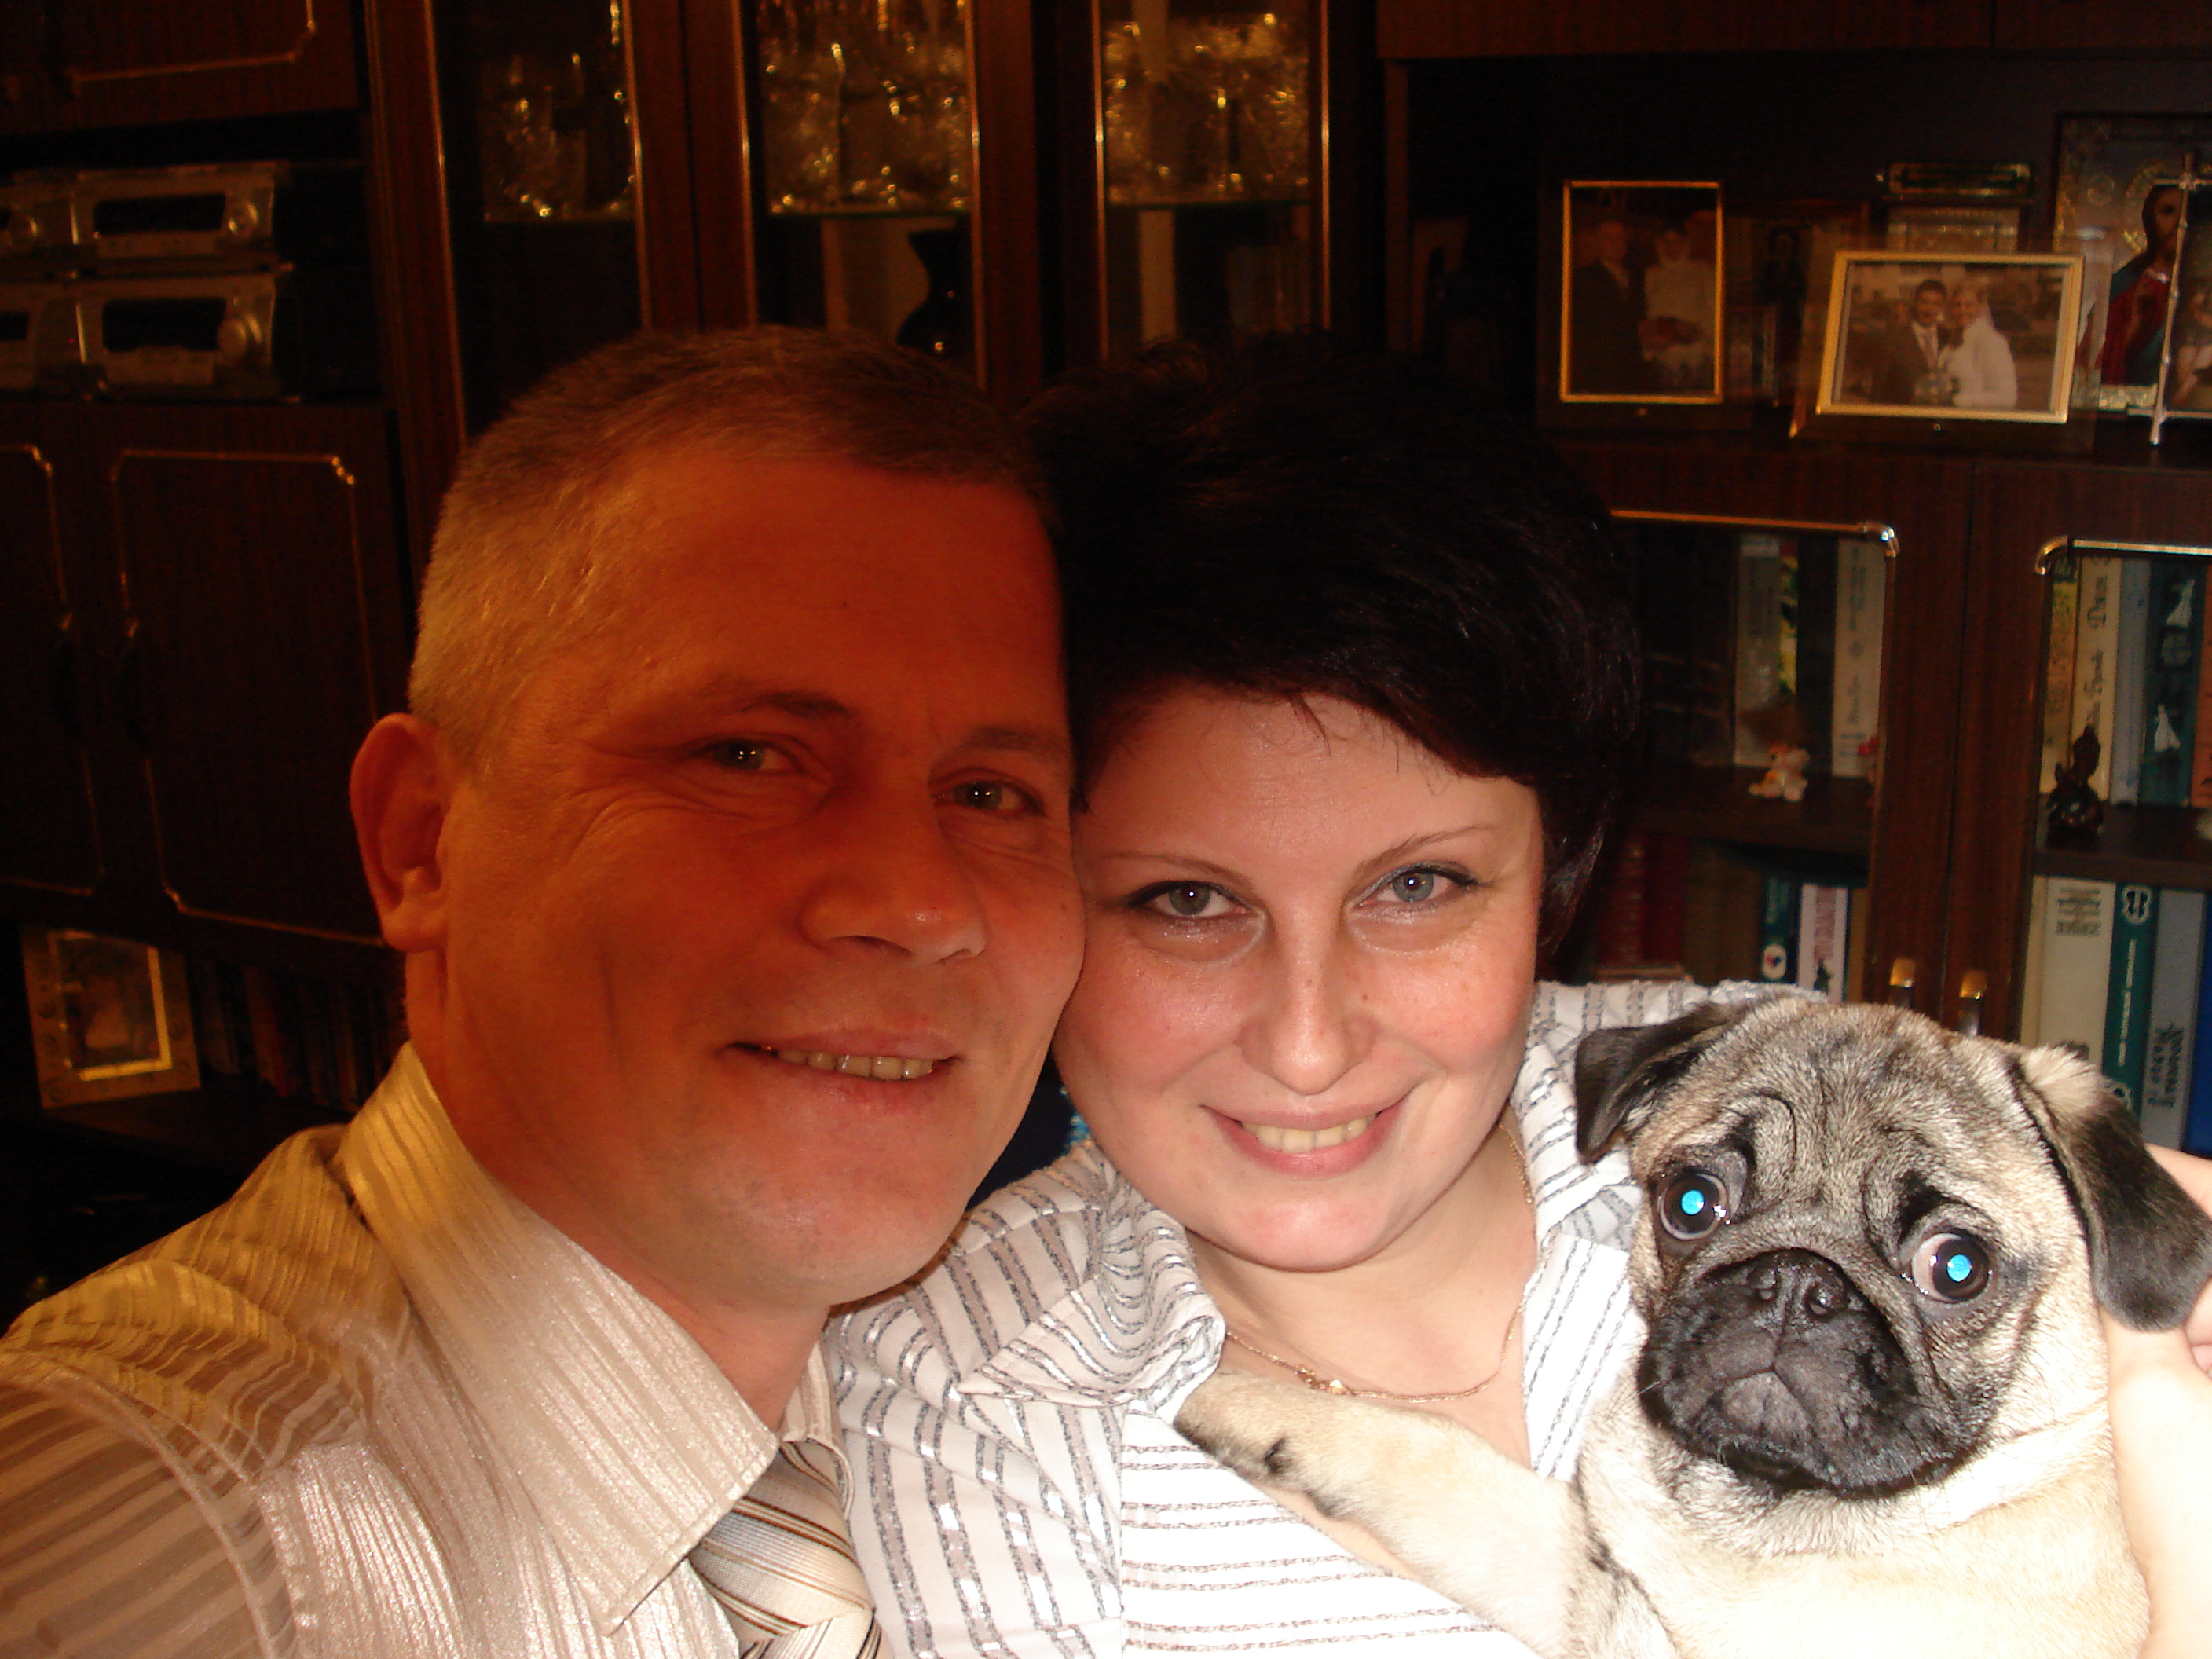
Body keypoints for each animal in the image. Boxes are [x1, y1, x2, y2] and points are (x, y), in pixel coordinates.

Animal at [1175, 997, 2212, 1658]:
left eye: (1955, 1268)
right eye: (1690, 1202)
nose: (1795, 1284)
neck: (1766, 1528)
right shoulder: (1595, 1578)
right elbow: (1434, 1459)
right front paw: (1246, 1405)